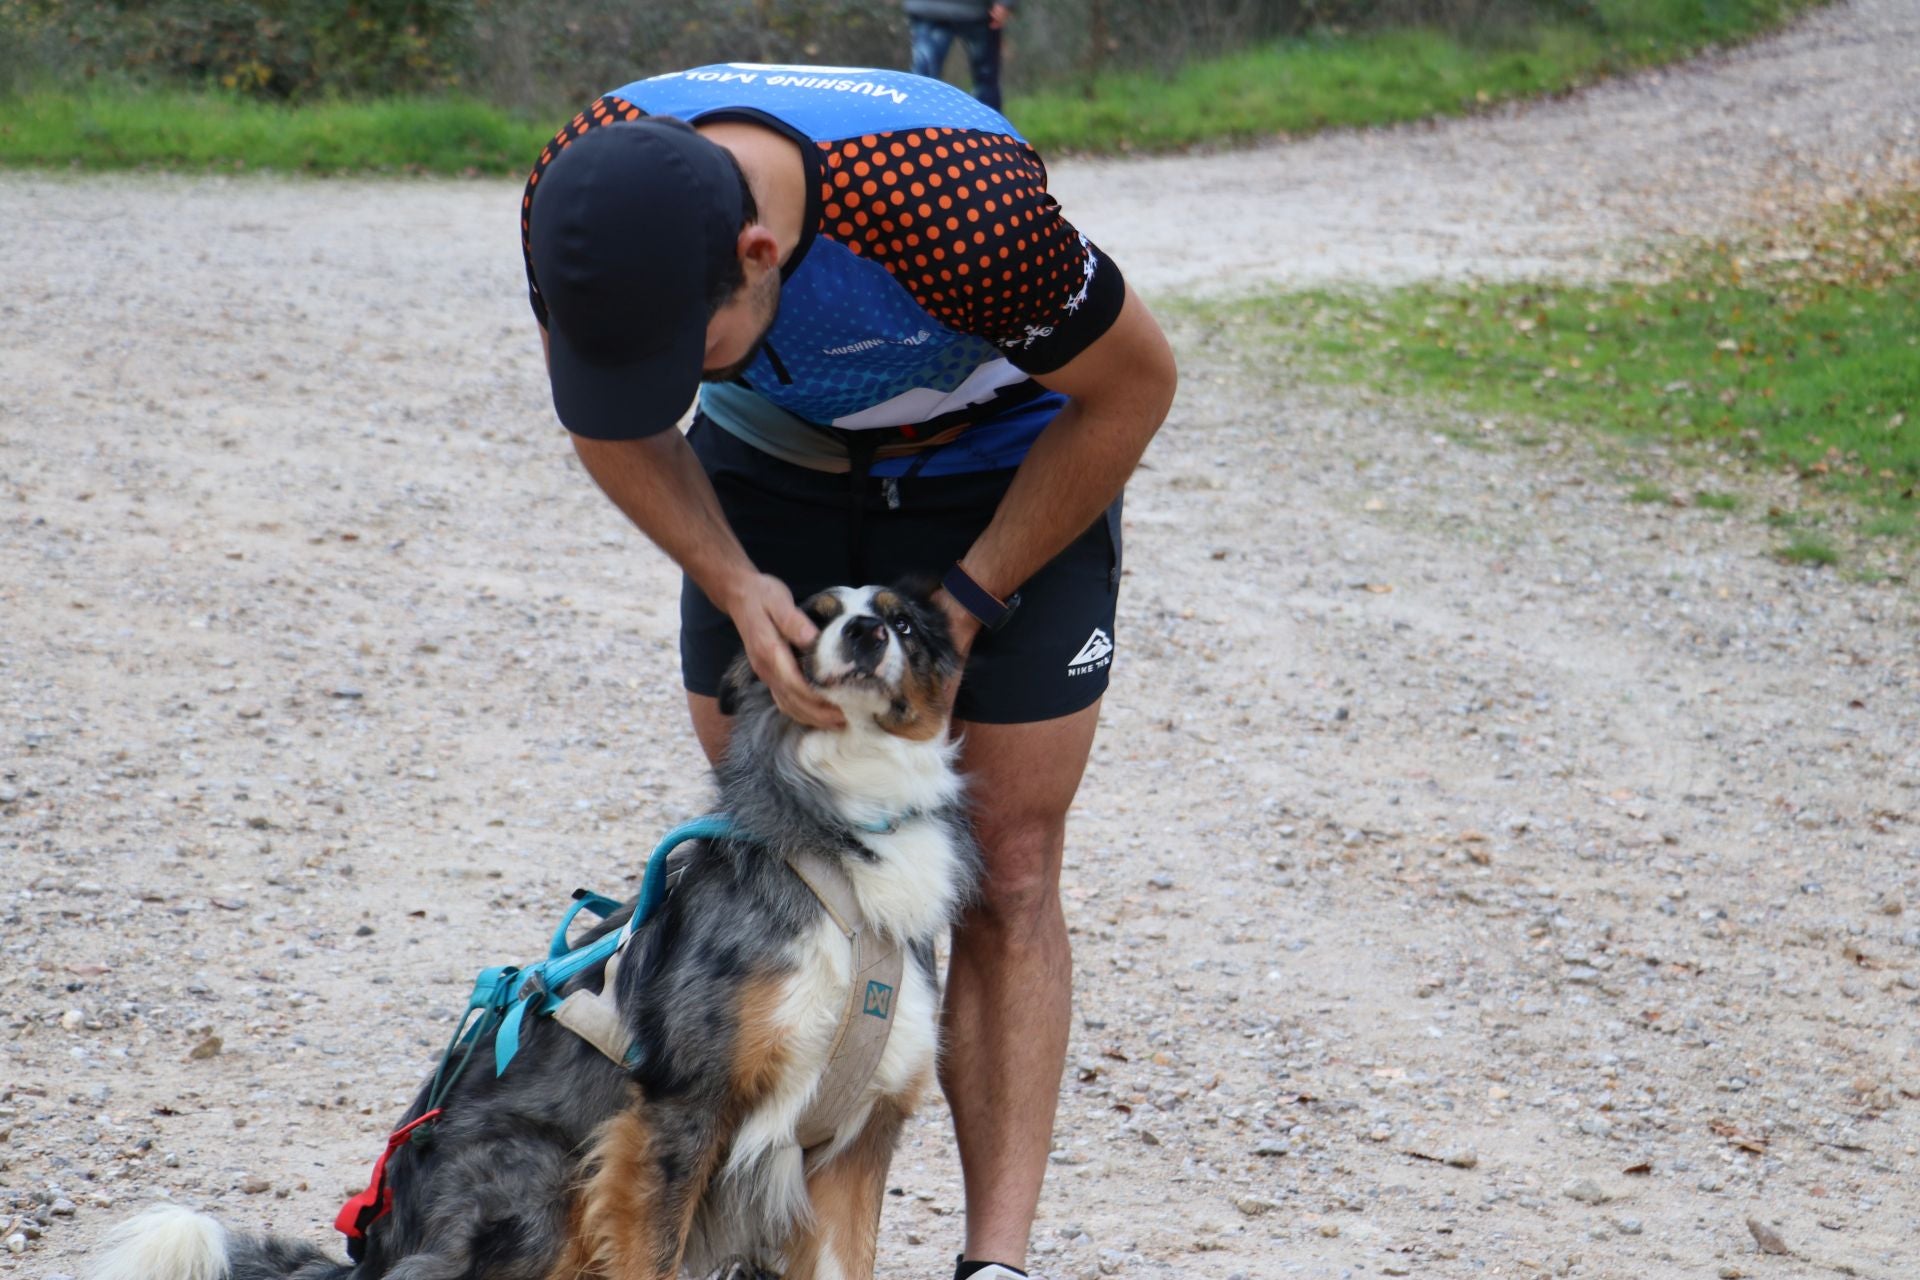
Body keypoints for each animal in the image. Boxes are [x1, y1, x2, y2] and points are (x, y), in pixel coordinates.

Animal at [93, 583, 975, 1280]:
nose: (863, 633)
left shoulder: (858, 1142)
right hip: (539, 1177)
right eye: (810, 621)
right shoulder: (680, 1108)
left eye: (900, 622)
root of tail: (374, 1254)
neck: (846, 840)